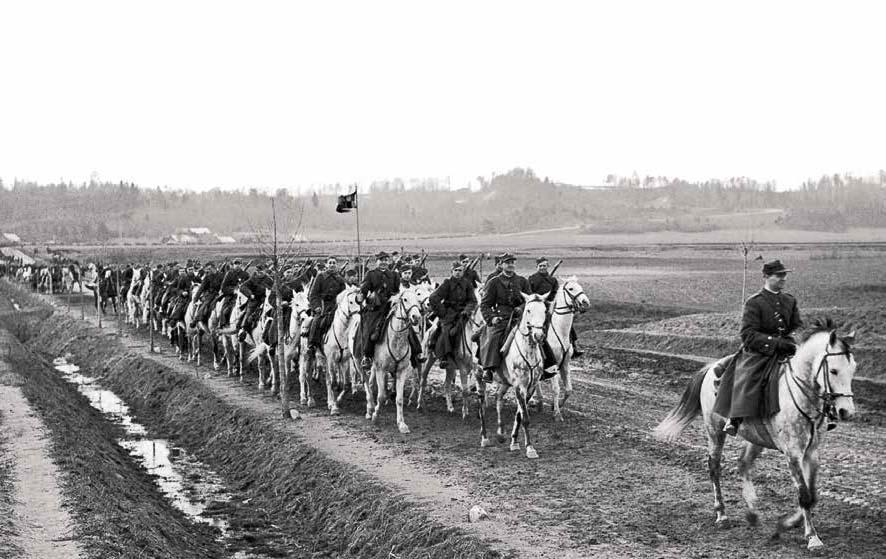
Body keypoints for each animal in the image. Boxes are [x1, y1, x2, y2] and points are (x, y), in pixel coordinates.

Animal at [364, 287, 424, 433]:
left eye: (418, 299)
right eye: (405, 299)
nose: (416, 317)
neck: (396, 340)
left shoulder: (402, 371)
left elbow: (400, 399)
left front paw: (401, 424)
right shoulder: (381, 370)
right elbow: (380, 396)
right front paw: (375, 416)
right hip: (374, 366)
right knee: (371, 384)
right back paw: (370, 409)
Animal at [478, 292, 548, 458]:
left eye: (544, 310)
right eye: (528, 310)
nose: (538, 335)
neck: (529, 351)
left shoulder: (531, 387)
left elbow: (519, 415)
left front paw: (514, 442)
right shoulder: (519, 386)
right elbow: (525, 418)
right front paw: (530, 448)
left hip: (504, 382)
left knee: (498, 398)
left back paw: (500, 432)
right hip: (478, 376)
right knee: (482, 405)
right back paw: (484, 438)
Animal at [530, 276, 590, 421]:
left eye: (580, 286)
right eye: (571, 288)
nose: (585, 302)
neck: (559, 330)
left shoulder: (565, 363)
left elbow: (569, 389)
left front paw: (555, 406)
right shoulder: (553, 365)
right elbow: (556, 389)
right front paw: (557, 414)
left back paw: (539, 402)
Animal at [653, 318, 857, 551]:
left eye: (853, 369)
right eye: (833, 370)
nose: (846, 411)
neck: (800, 394)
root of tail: (712, 367)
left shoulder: (811, 452)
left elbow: (812, 494)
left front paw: (792, 523)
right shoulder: (793, 453)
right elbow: (804, 495)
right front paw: (812, 538)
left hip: (756, 437)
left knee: (743, 464)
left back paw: (752, 512)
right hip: (714, 431)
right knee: (714, 467)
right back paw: (721, 514)